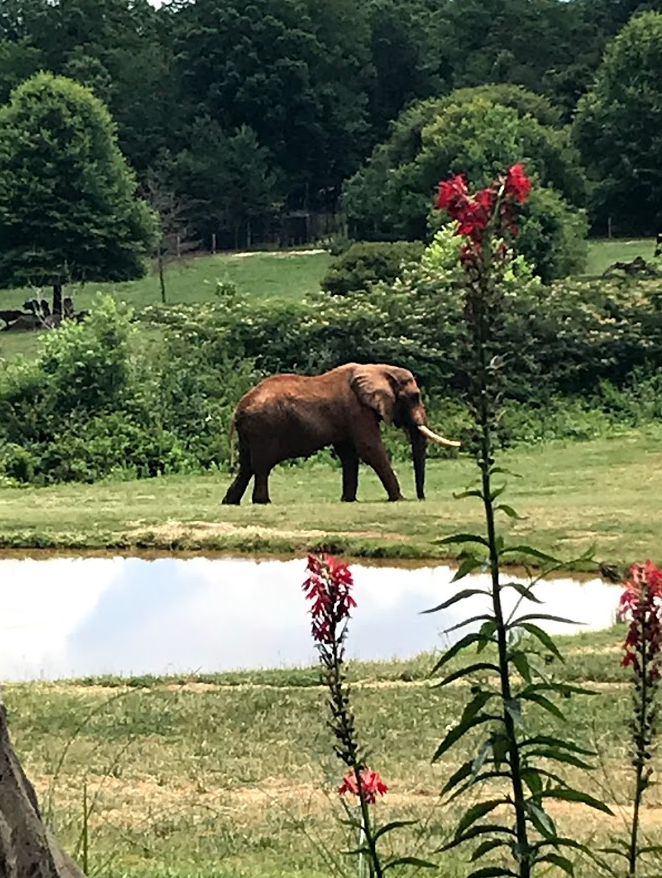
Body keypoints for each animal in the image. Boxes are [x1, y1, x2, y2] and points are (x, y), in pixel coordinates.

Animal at [221, 362, 460, 505]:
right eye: (415, 397)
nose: (421, 498)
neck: (378, 369)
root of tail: (238, 408)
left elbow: (349, 455)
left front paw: (348, 500)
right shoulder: (357, 409)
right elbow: (370, 449)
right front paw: (399, 499)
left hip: (251, 431)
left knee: (246, 466)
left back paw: (230, 502)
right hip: (264, 427)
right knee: (261, 466)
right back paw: (263, 502)